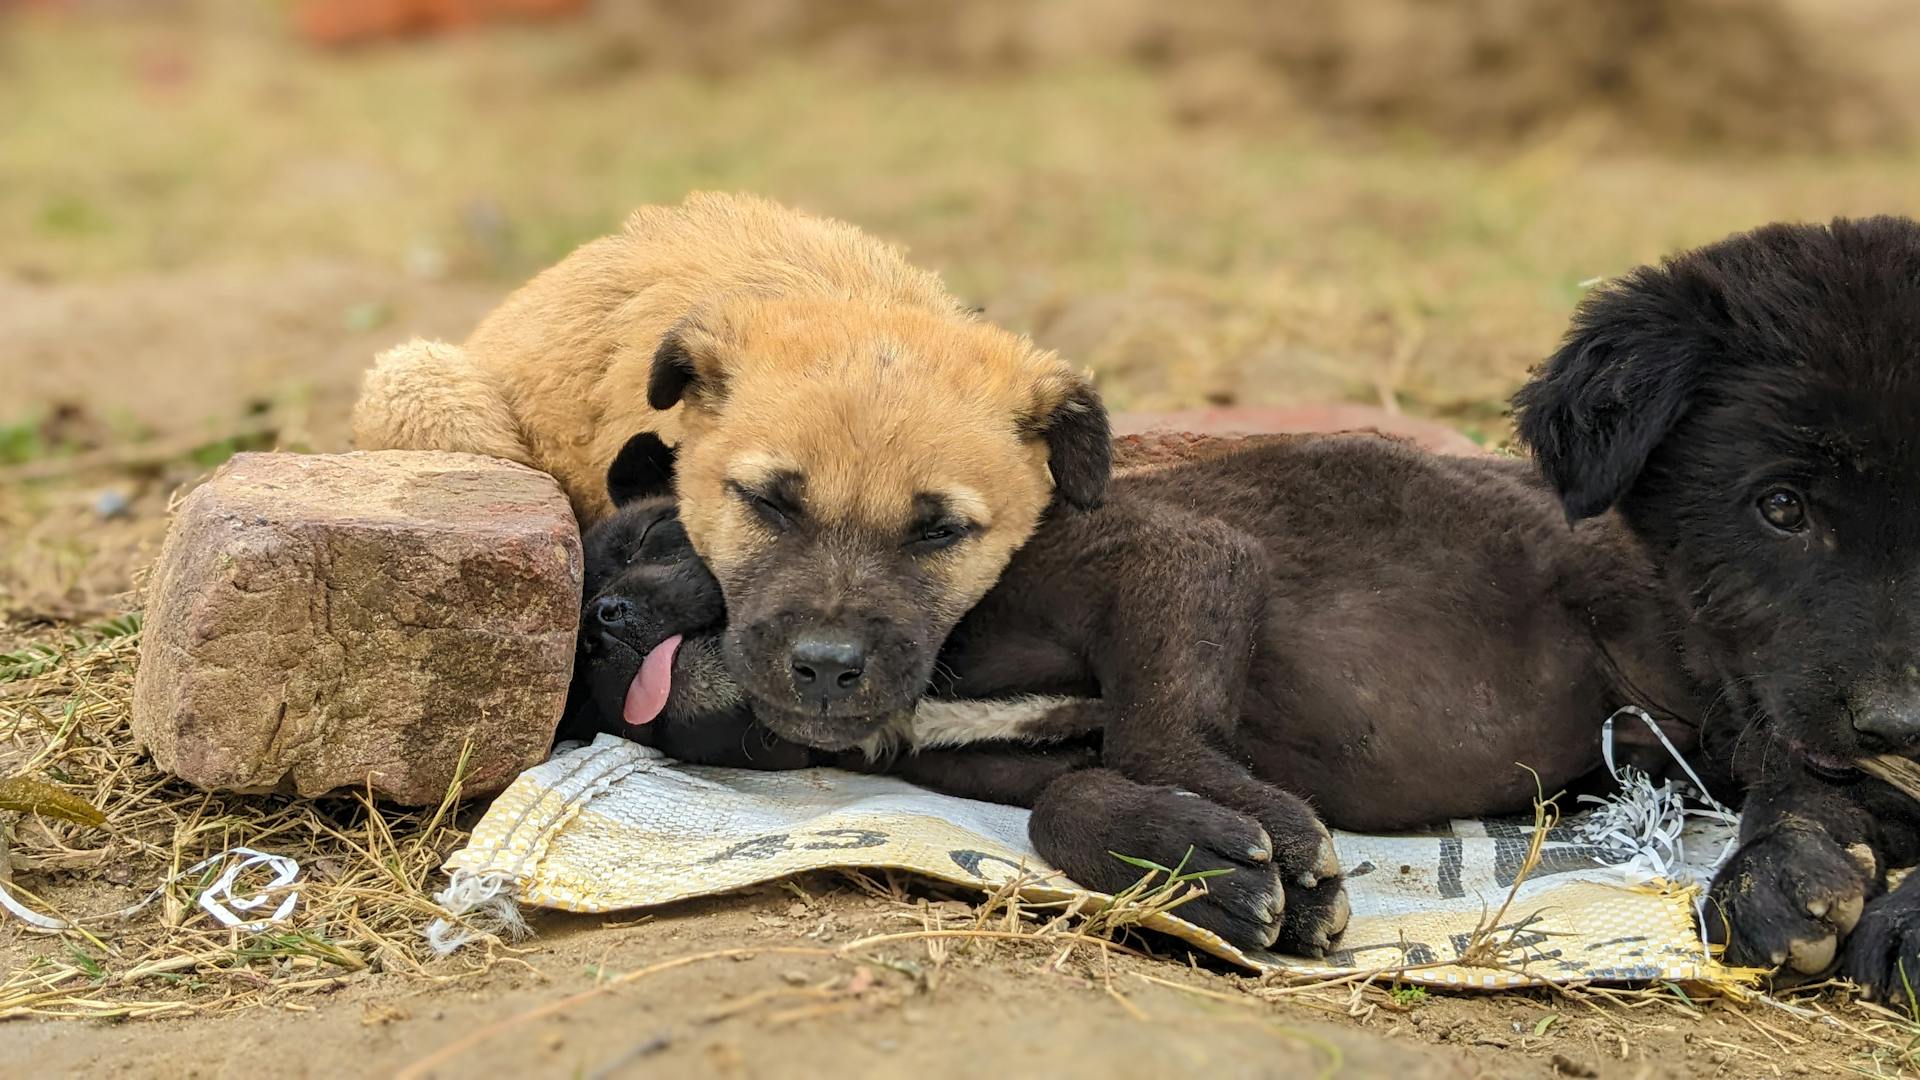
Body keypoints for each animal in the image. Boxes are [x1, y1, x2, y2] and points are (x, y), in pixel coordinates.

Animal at [560, 422, 1689, 949]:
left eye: (660, 539)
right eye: (579, 659)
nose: (604, 618)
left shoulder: (1169, 554)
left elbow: (1155, 736)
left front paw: (1269, 854)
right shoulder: (1005, 761)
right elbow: (1067, 799)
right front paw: (1204, 869)